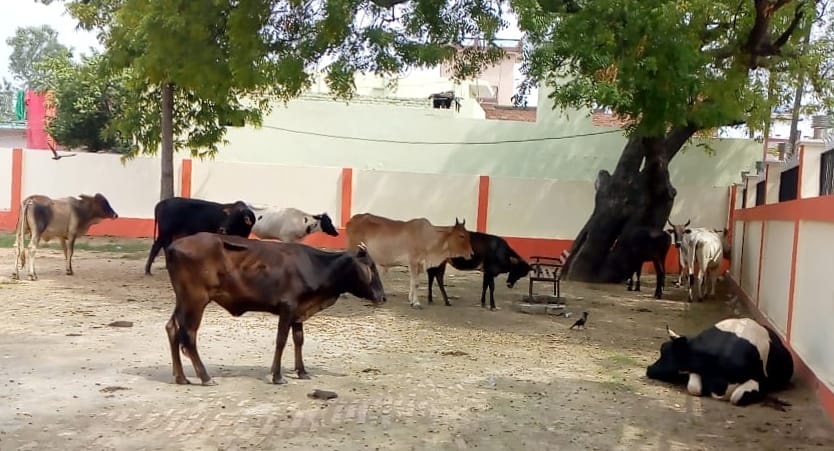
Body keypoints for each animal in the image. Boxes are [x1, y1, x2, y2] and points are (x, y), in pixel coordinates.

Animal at [163, 232, 386, 386]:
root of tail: (174, 245)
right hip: (195, 299)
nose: (382, 297)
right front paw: (277, 376)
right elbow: (281, 340)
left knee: (172, 327)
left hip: (183, 299)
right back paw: (205, 377)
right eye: (371, 266)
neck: (317, 267)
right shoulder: (288, 307)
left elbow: (299, 340)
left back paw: (181, 377)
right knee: (189, 335)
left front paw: (302, 372)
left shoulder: (298, 312)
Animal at [345, 213, 474, 309]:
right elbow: (415, 283)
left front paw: (411, 300)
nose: (471, 253)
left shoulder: (419, 264)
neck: (428, 238)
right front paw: (416, 303)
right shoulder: (413, 261)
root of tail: (353, 219)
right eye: (461, 235)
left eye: (468, 235)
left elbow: (413, 282)